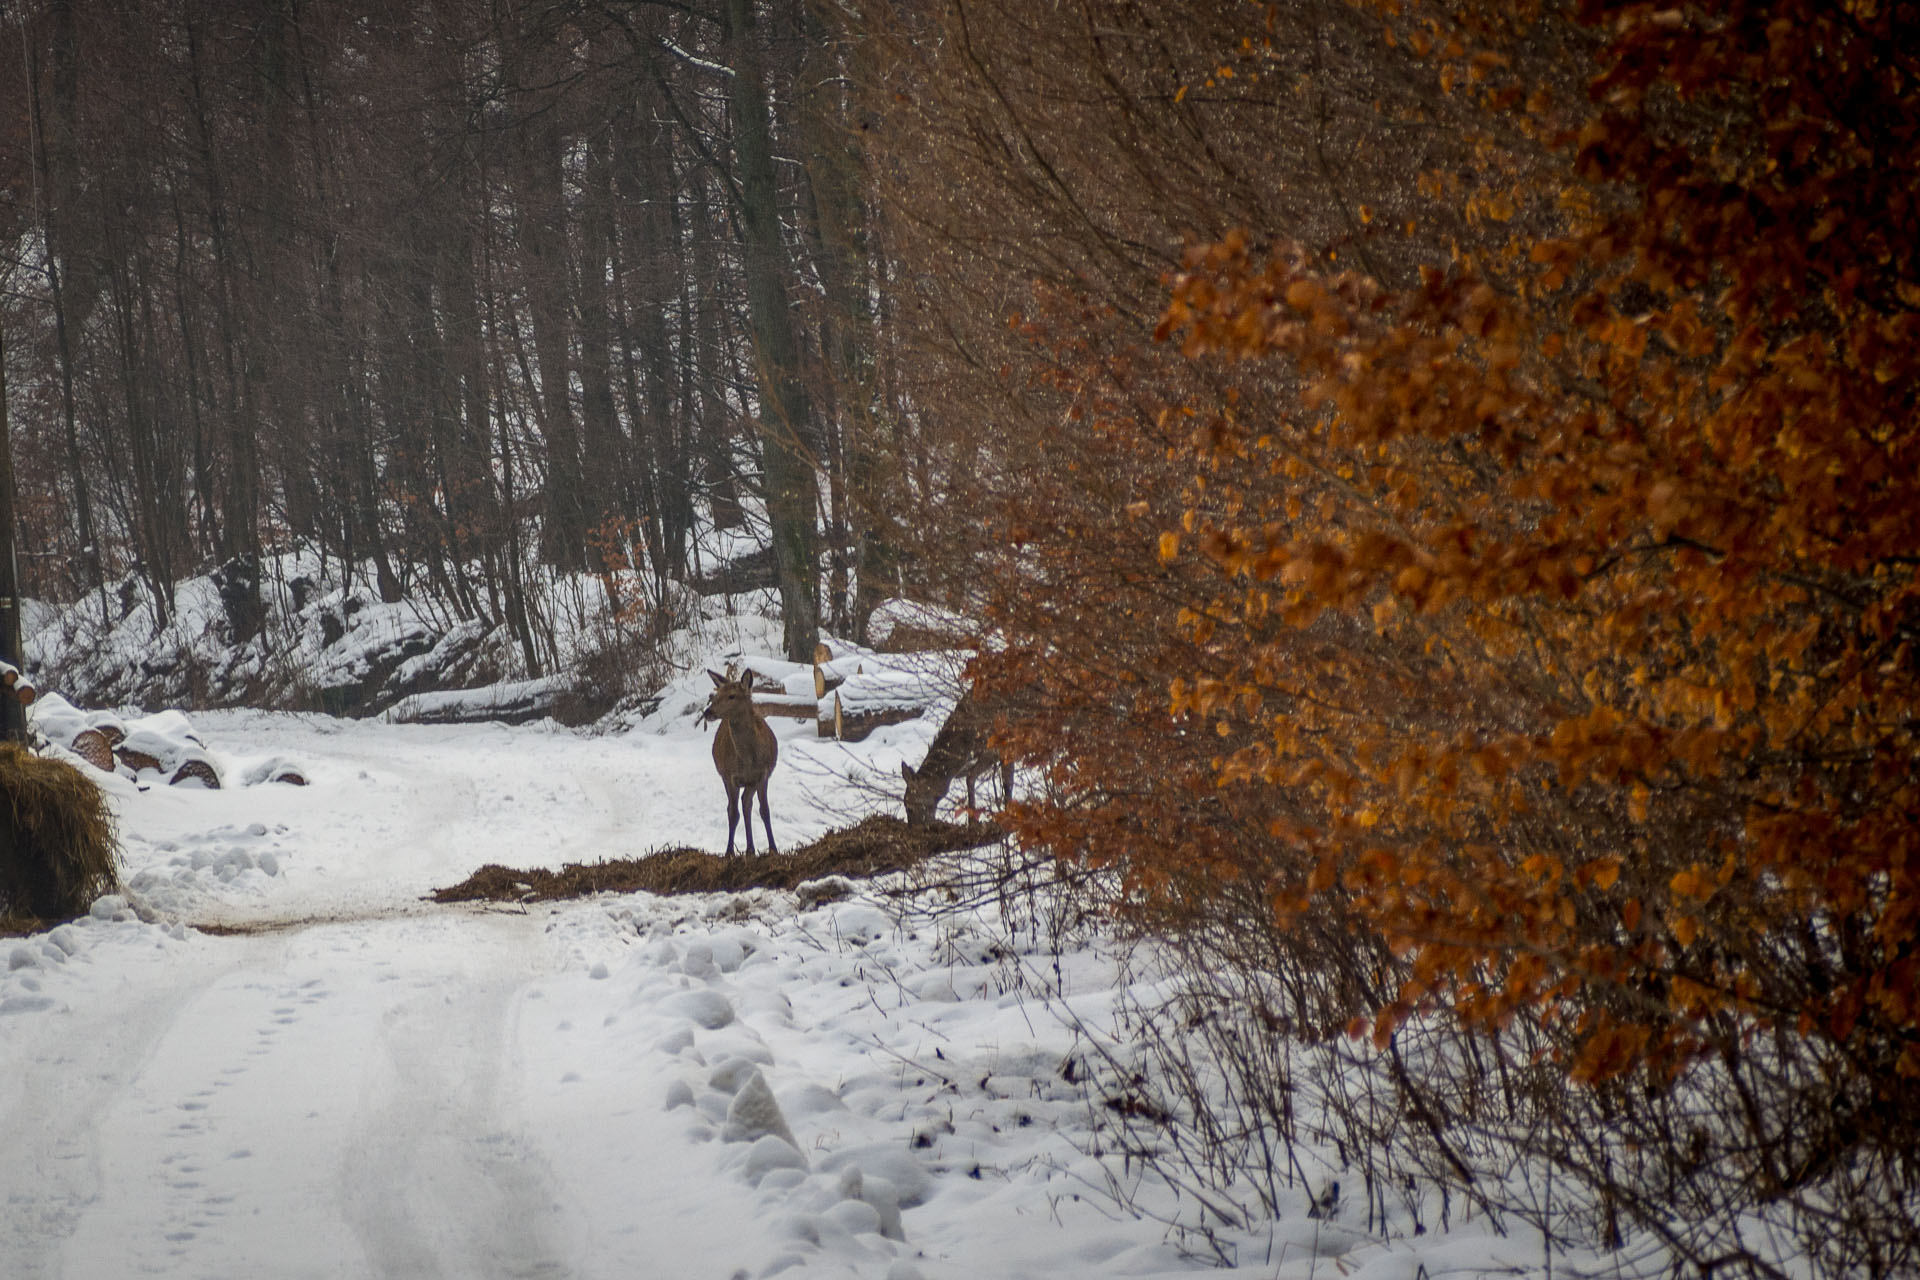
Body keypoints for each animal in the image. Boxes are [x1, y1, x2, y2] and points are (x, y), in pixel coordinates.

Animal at [706, 671, 779, 859]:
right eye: (716, 694)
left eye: (732, 696)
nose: (708, 712)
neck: (747, 760)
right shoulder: (730, 776)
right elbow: (733, 813)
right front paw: (729, 852)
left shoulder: (763, 774)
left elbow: (765, 810)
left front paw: (773, 849)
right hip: (728, 778)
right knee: (736, 806)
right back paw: (748, 849)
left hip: (750, 783)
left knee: (746, 803)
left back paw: (751, 850)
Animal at [902, 694, 1021, 825]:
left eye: (909, 808)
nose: (913, 827)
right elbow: (972, 778)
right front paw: (972, 821)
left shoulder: (1001, 748)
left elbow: (1006, 782)